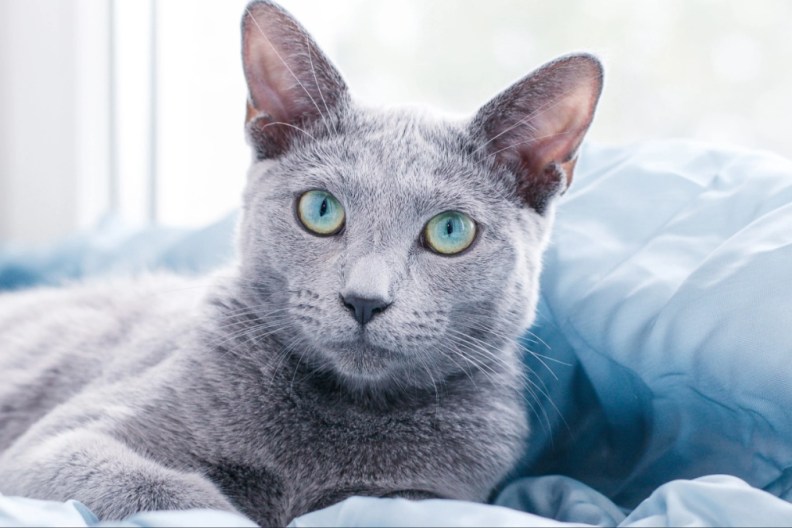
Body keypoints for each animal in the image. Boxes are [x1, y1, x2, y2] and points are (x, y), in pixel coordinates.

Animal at [0, 0, 600, 524]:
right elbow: (179, 497)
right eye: (320, 209)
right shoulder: (55, 446)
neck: (342, 417)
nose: (364, 299)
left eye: (450, 231)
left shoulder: (437, 492)